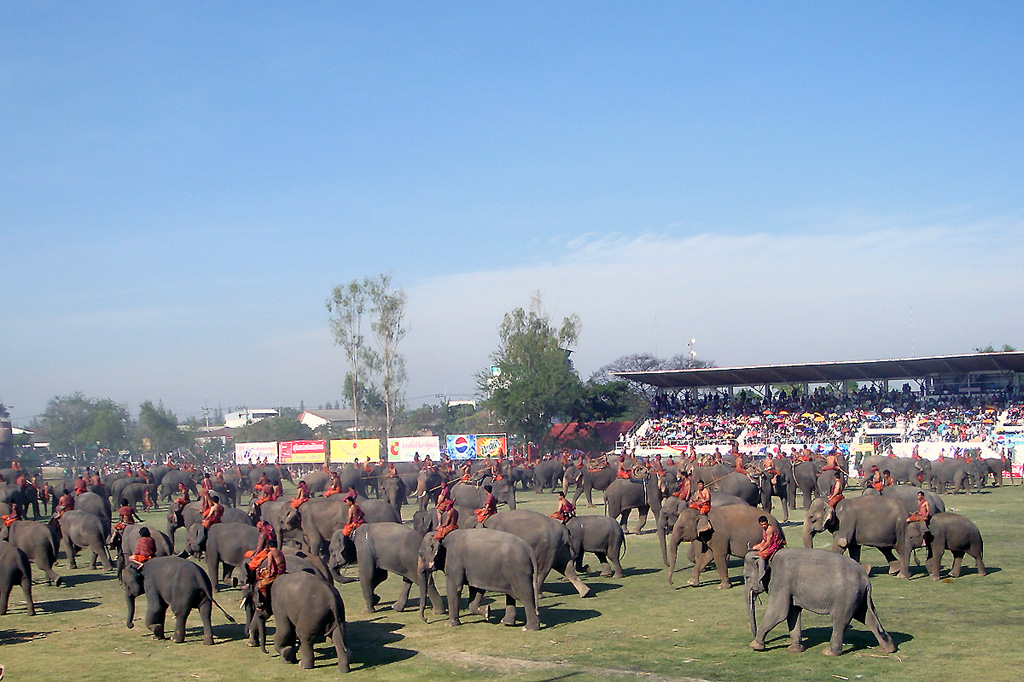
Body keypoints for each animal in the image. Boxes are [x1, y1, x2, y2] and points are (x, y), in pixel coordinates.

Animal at [744, 548, 896, 656]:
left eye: (746, 577)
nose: (754, 634)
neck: (768, 557)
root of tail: (866, 578)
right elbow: (793, 613)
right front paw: (795, 649)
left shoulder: (782, 580)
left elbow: (779, 612)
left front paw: (755, 645)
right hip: (859, 596)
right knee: (867, 617)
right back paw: (887, 649)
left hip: (846, 596)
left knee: (839, 620)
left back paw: (829, 652)